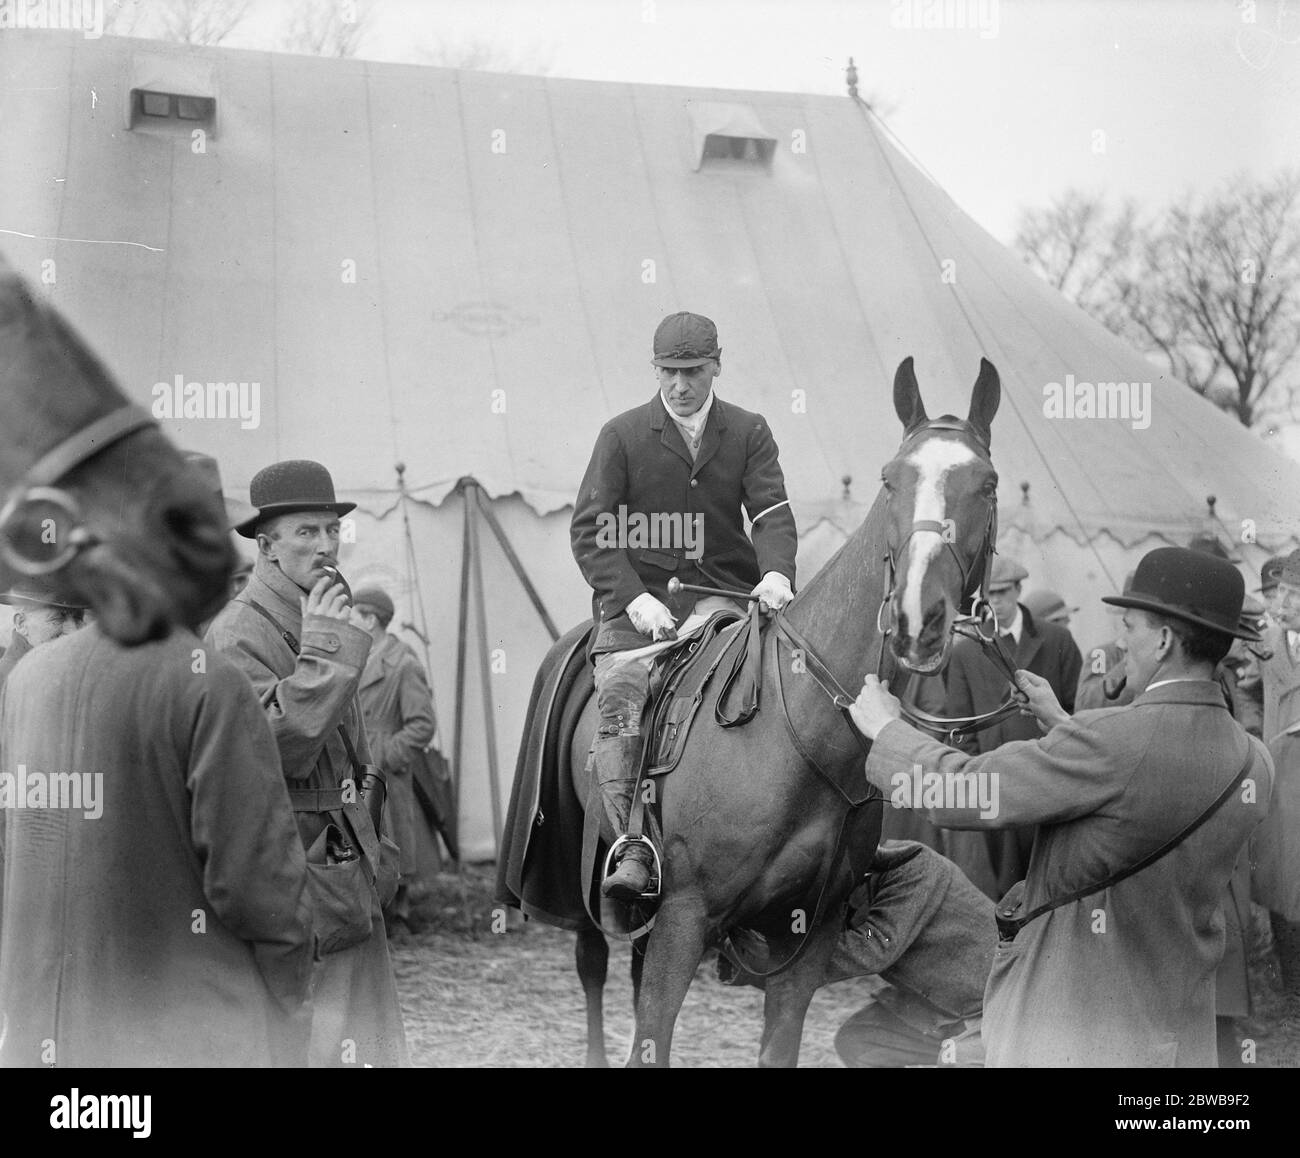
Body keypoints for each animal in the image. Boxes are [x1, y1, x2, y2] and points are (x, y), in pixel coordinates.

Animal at [564, 356, 998, 1070]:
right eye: (890, 479)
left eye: (986, 485)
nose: (919, 617)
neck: (794, 739)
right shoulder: (683, 917)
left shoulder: (806, 940)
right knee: (592, 965)